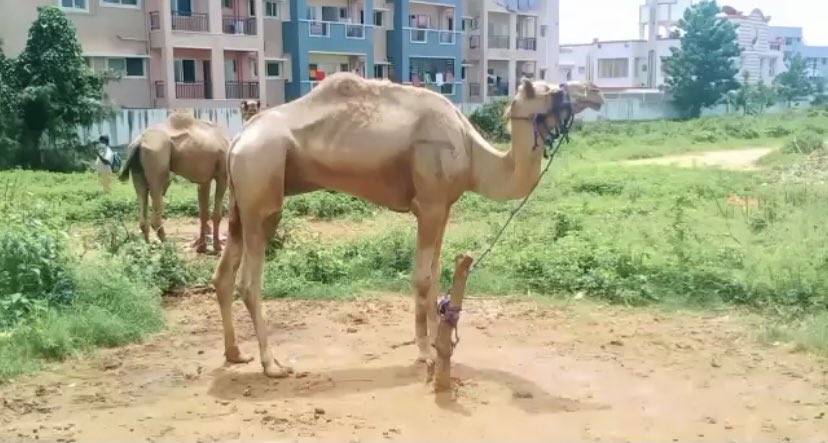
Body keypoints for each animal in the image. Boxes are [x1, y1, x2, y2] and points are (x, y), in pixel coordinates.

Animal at [211, 72, 604, 378]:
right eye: (551, 90)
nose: (595, 90)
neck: (473, 153)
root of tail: (237, 140)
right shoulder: (428, 205)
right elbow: (423, 278)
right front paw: (427, 353)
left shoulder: (443, 206)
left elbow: (437, 275)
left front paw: (439, 342)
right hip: (262, 186)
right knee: (248, 281)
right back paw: (272, 365)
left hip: (239, 203)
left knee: (222, 275)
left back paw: (235, 353)